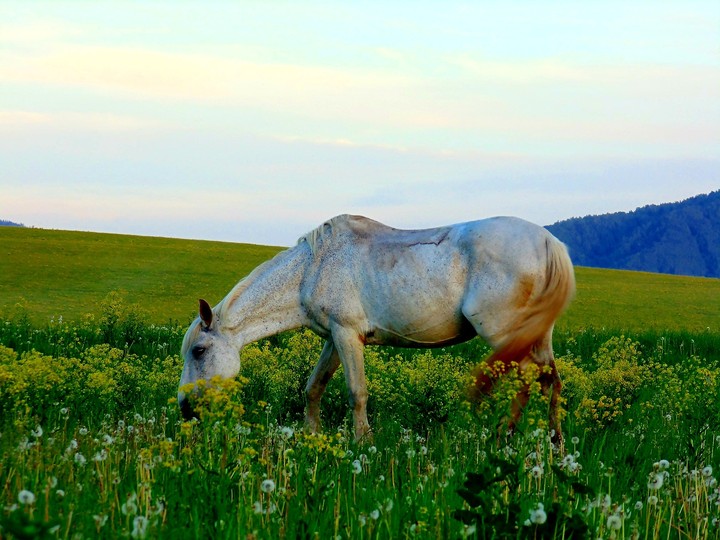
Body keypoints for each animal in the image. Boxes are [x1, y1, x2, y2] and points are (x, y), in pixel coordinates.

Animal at [178, 214, 575, 441]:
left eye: (199, 351)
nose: (185, 408)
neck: (313, 268)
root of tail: (548, 241)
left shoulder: (346, 335)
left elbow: (357, 392)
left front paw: (362, 443)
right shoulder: (334, 339)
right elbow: (313, 388)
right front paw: (311, 436)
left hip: (506, 335)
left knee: (529, 379)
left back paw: (507, 438)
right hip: (536, 338)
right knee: (549, 382)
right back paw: (550, 444)